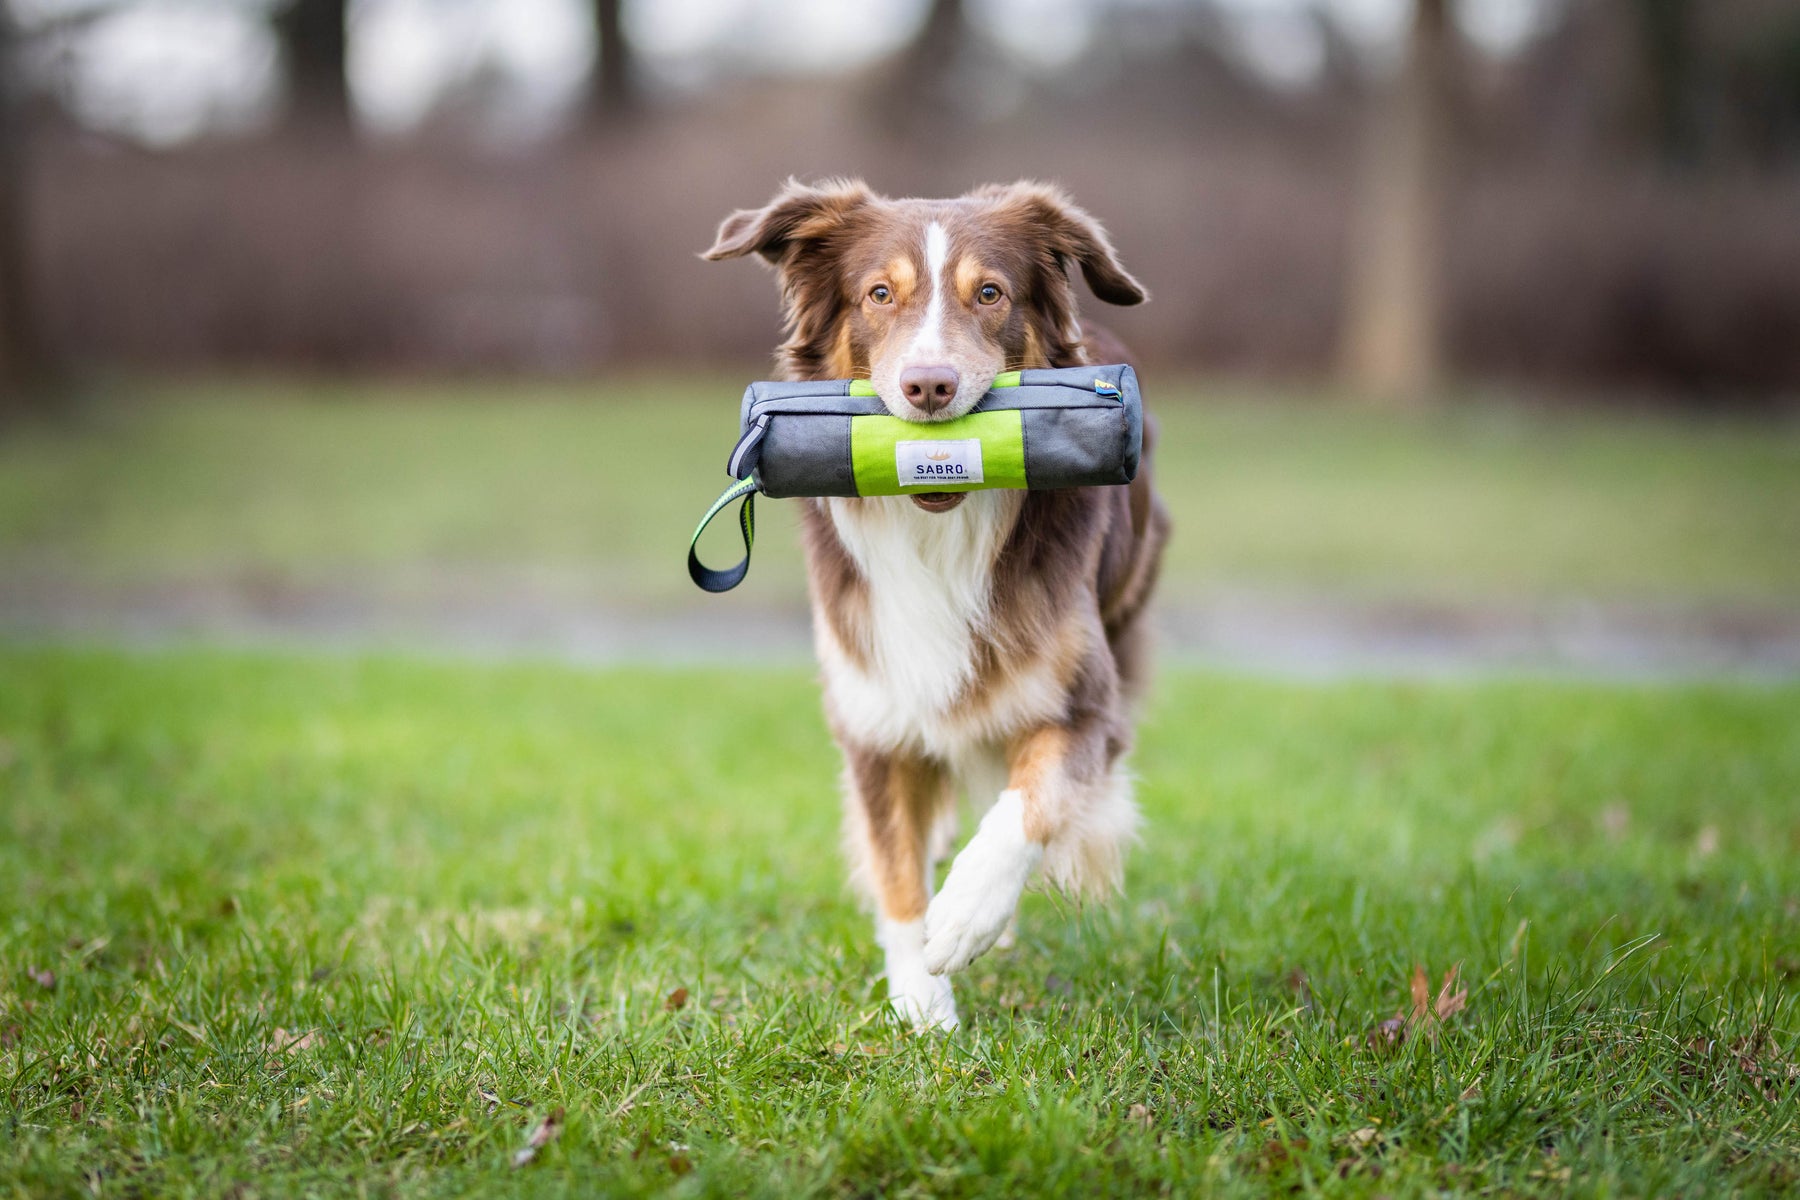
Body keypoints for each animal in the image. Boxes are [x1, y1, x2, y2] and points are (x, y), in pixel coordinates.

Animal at [702, 178, 1166, 1036]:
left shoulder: (1087, 703)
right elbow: (896, 871)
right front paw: (922, 998)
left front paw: (967, 916)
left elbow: (1032, 800)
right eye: (879, 294)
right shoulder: (873, 718)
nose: (929, 386)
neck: (939, 534)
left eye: (990, 293)